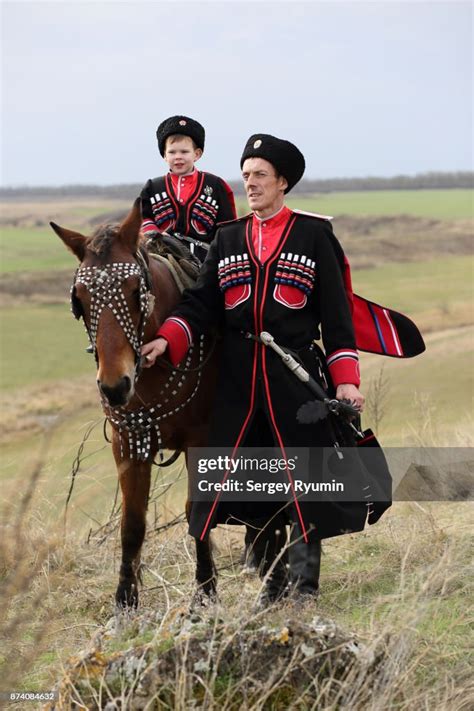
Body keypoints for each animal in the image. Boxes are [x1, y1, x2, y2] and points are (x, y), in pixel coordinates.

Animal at [51, 197, 218, 608]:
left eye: (133, 290)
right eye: (80, 299)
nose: (114, 386)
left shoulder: (202, 439)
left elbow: (197, 511)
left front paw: (206, 592)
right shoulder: (128, 443)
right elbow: (132, 524)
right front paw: (125, 602)